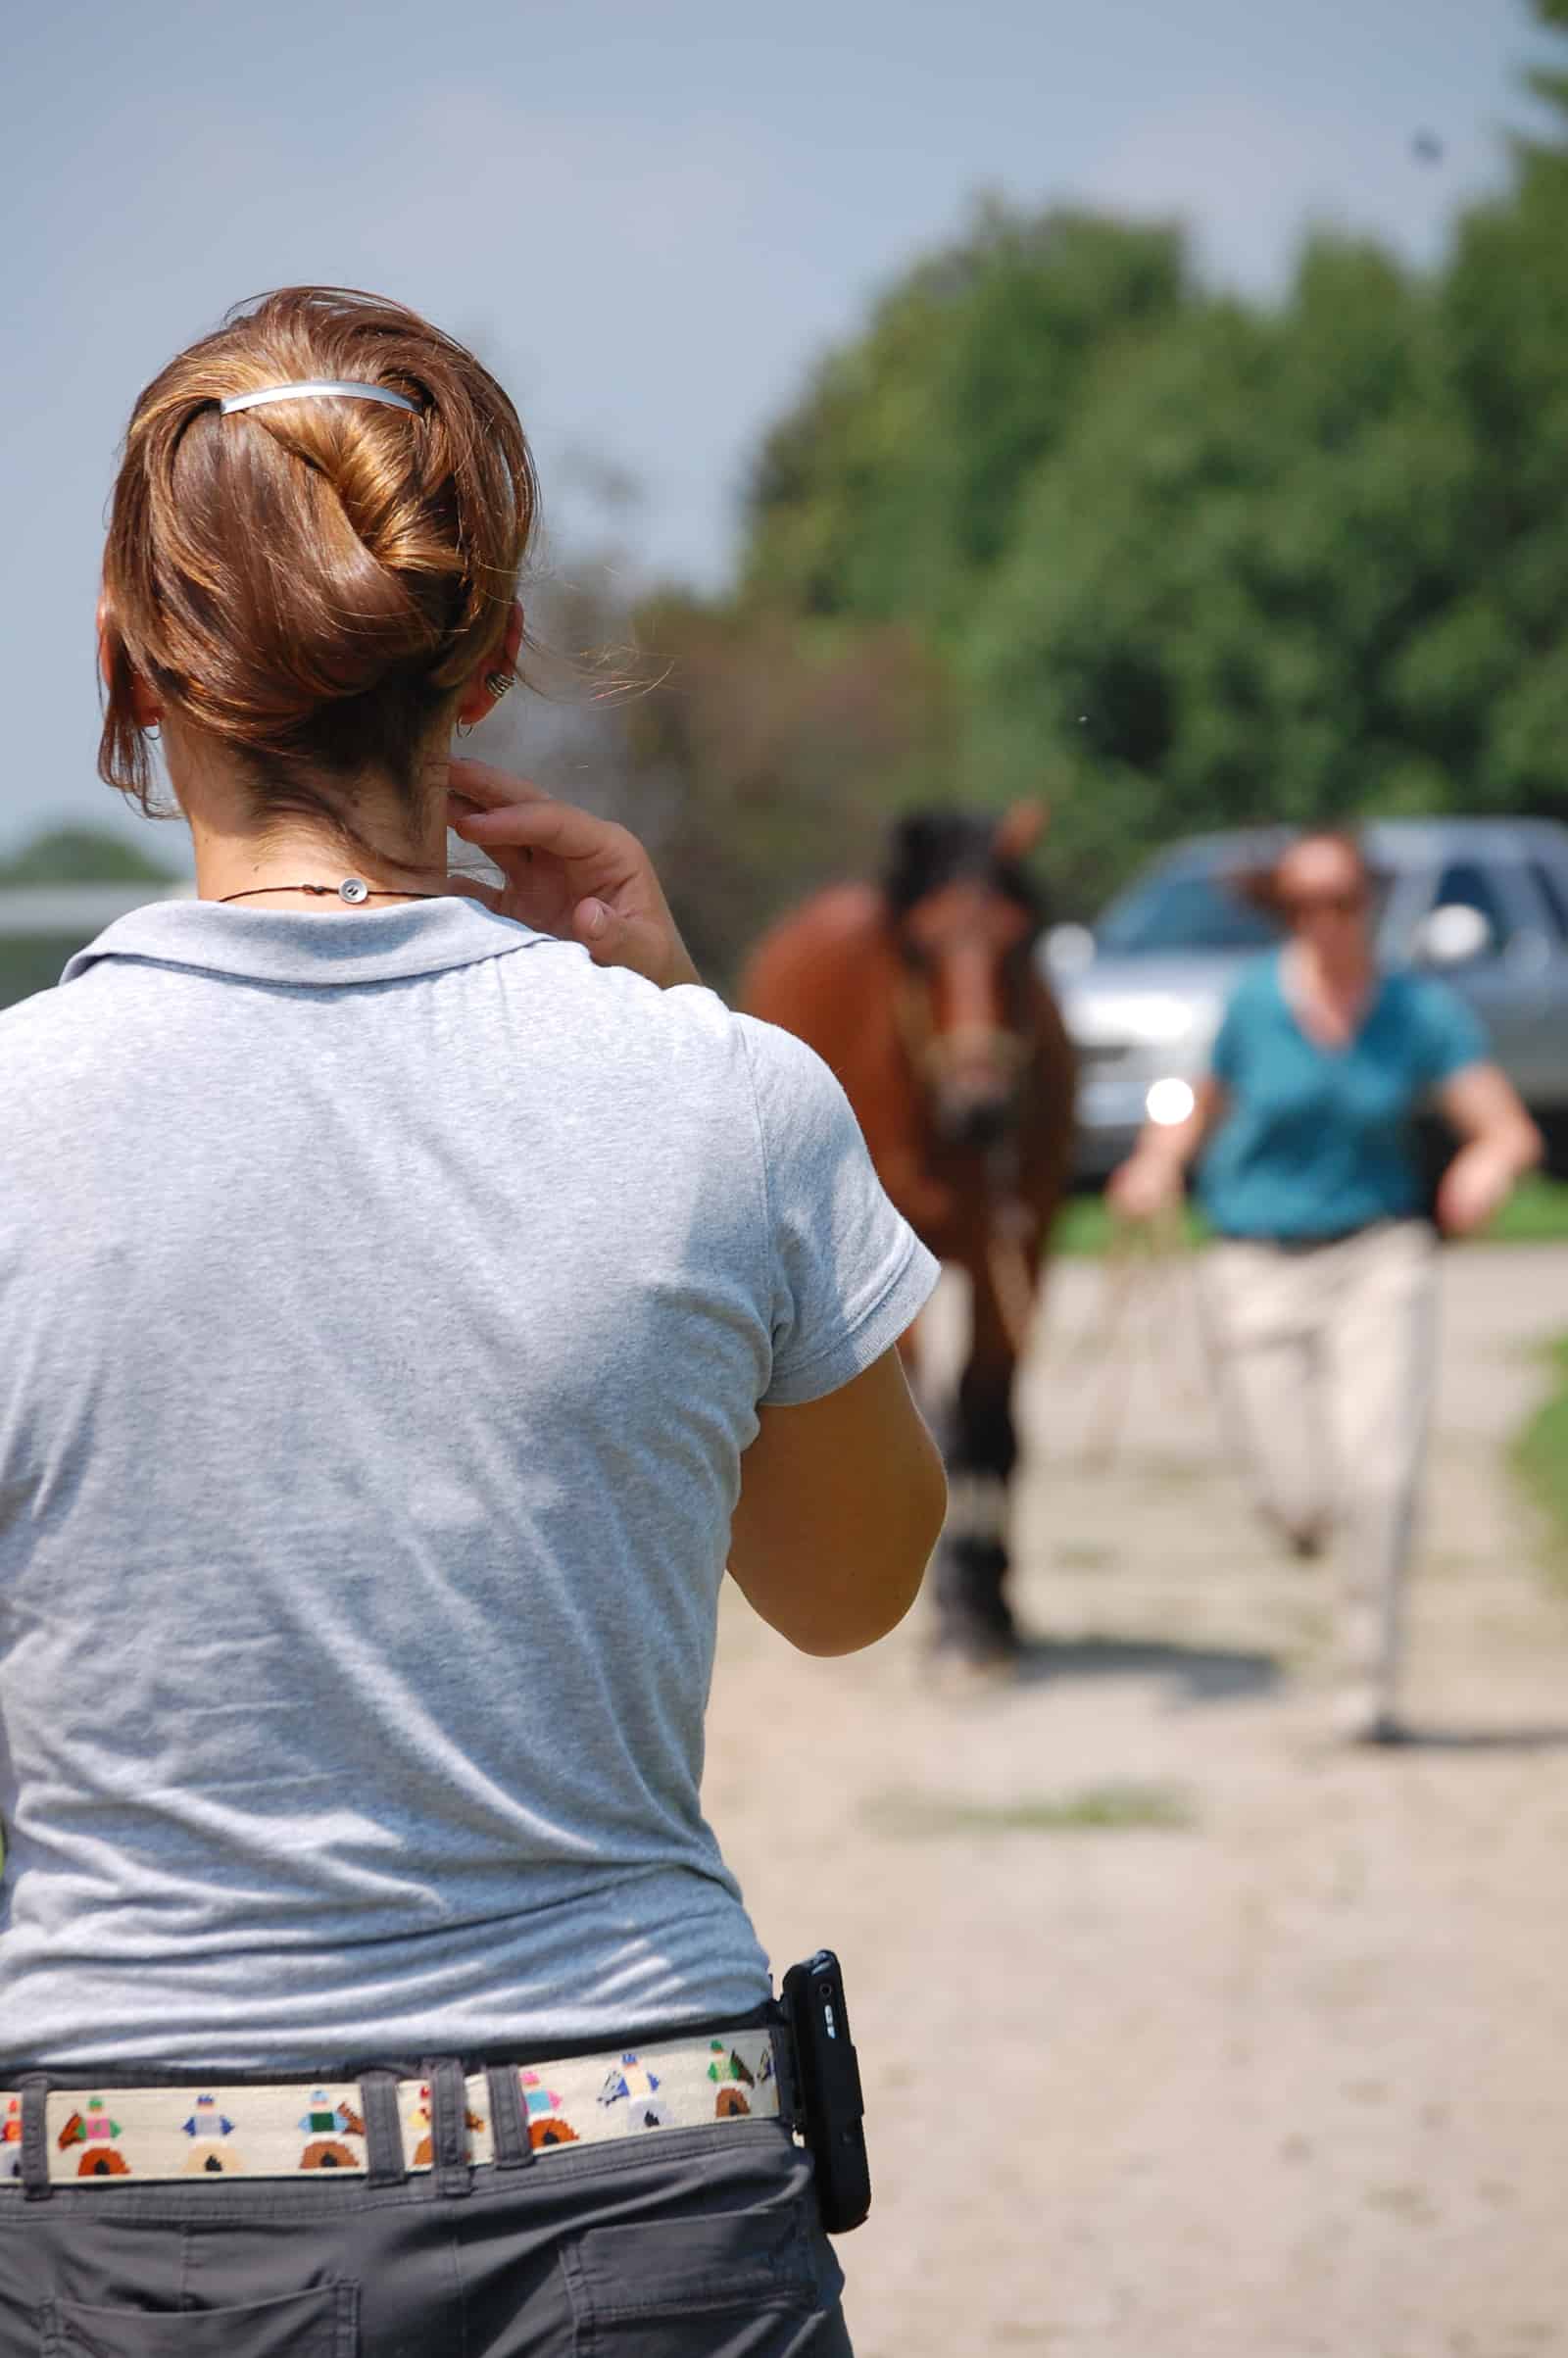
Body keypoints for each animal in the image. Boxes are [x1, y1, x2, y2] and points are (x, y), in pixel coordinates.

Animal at [740, 804, 1077, 1664]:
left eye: (1021, 940)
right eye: (920, 948)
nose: (983, 1107)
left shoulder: (1017, 1243)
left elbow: (991, 1420)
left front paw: (992, 1603)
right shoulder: (890, 1250)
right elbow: (947, 1424)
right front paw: (957, 1611)